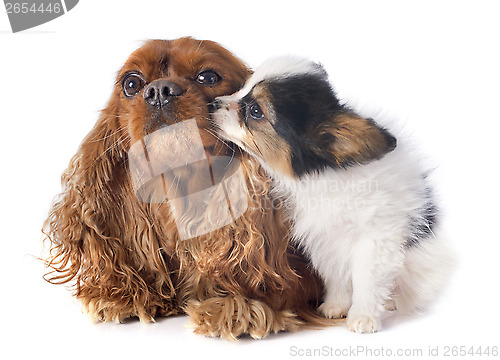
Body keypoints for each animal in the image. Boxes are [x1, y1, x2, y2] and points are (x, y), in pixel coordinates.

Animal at [213, 57, 456, 334]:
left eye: (255, 111)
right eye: (242, 88)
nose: (213, 103)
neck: (325, 176)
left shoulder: (376, 239)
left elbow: (366, 279)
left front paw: (363, 316)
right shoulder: (326, 238)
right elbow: (335, 274)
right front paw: (336, 306)